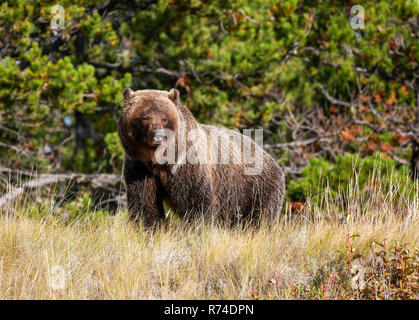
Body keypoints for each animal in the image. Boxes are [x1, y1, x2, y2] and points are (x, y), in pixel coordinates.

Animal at [118, 88, 286, 228]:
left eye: (164, 118)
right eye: (145, 117)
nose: (158, 137)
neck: (160, 162)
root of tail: (271, 158)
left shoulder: (188, 167)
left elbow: (196, 203)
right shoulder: (140, 168)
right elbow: (145, 204)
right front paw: (151, 229)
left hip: (258, 186)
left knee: (261, 216)